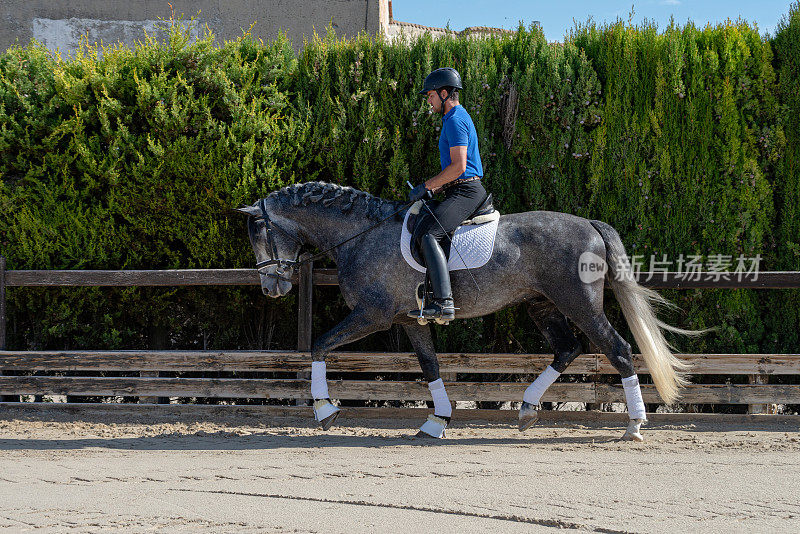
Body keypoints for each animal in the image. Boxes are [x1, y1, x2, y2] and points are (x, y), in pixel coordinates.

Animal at [238, 182, 692, 442]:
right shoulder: (408, 320)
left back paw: (634, 426)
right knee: (568, 349)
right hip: (542, 304)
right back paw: (527, 411)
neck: (361, 235)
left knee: (617, 350)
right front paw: (436, 422)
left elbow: (319, 345)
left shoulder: (373, 315)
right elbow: (430, 366)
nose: (272, 287)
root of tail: (589, 225)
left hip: (578, 302)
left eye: (259, 233)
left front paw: (325, 411)